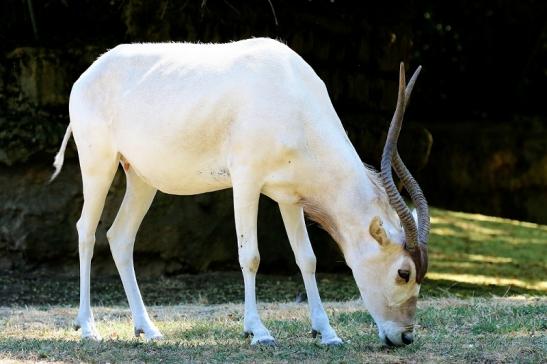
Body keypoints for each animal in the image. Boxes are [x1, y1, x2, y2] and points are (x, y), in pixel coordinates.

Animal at [50, 37, 428, 346]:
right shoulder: (247, 181)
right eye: (403, 273)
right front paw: (258, 331)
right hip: (98, 164)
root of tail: (87, 76)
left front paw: (327, 333)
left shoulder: (290, 196)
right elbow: (251, 256)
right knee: (86, 231)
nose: (405, 337)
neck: (292, 94)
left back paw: (148, 328)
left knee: (120, 236)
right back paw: (88, 328)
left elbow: (307, 259)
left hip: (142, 178)